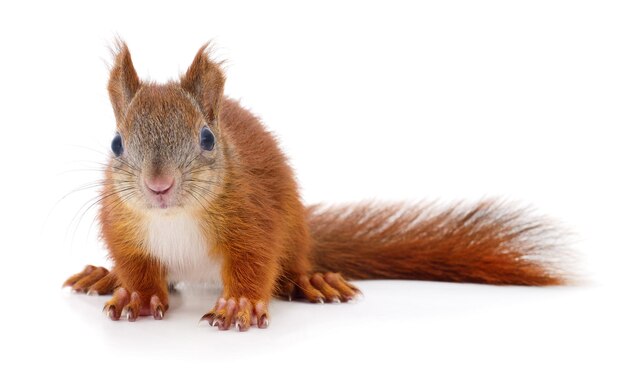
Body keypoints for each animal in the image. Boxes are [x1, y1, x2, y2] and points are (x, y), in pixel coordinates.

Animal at [62, 41, 564, 332]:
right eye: (116, 143)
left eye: (206, 138)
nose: (159, 185)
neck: (174, 217)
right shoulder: (121, 223)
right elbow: (137, 265)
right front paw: (138, 294)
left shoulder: (253, 217)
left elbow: (254, 263)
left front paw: (238, 305)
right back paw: (105, 277)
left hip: (295, 232)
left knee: (292, 263)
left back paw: (312, 279)